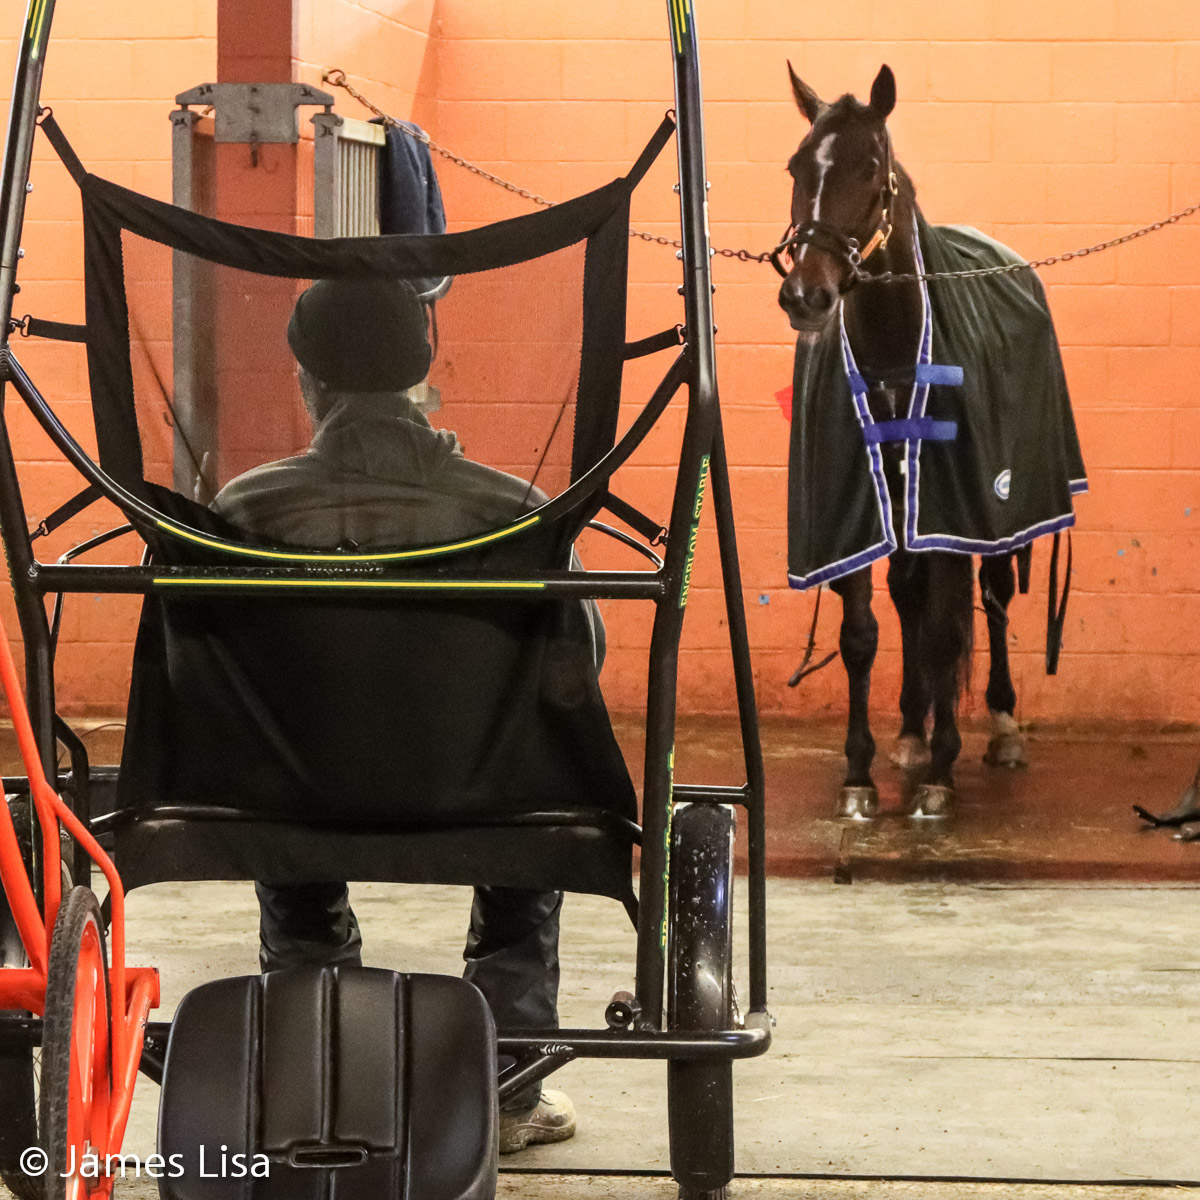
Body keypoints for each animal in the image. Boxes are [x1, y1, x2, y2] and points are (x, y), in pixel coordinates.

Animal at [768, 63, 1070, 816]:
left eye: (871, 167)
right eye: (796, 166)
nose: (805, 296)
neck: (894, 350)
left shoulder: (955, 505)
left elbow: (945, 625)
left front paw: (942, 772)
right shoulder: (858, 504)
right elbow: (863, 633)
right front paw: (861, 773)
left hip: (995, 515)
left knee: (992, 594)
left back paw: (1000, 727)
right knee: (912, 599)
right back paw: (912, 729)